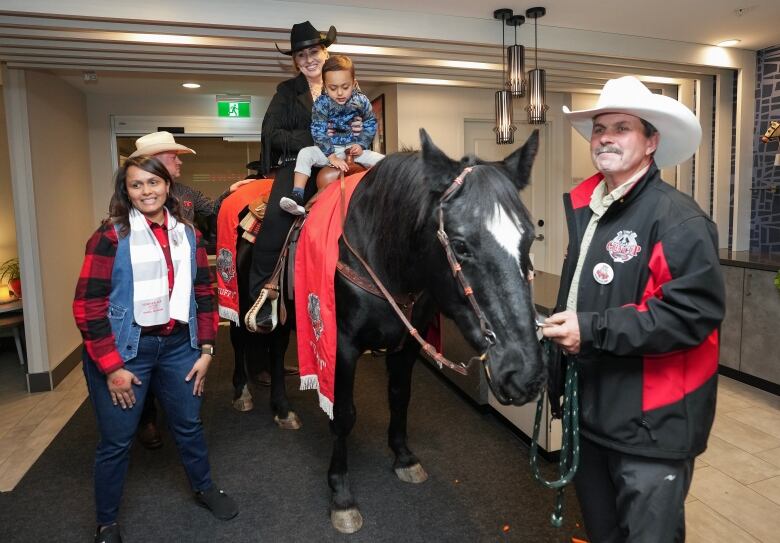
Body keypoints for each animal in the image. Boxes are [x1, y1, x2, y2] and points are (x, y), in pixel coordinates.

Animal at [322, 130, 544, 532]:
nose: (526, 373)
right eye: (459, 245)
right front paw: (341, 492)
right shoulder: (342, 345)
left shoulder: (409, 342)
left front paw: (403, 457)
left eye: (529, 239)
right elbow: (343, 414)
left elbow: (400, 396)